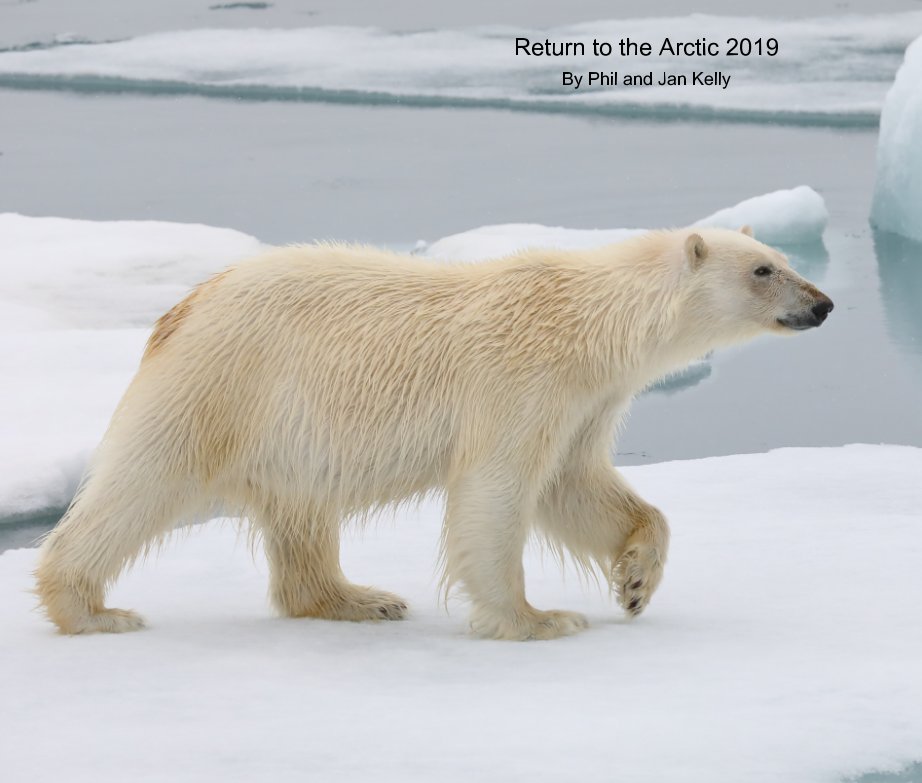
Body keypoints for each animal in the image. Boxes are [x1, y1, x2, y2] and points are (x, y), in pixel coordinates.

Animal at [36, 225, 832, 636]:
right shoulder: (522, 379)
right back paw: (90, 608)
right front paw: (540, 617)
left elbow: (576, 486)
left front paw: (636, 579)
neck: (590, 318)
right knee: (144, 481)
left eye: (787, 261)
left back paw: (359, 598)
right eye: (764, 270)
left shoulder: (585, 400)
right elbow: (498, 492)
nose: (823, 303)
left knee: (301, 509)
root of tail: (185, 306)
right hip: (224, 384)